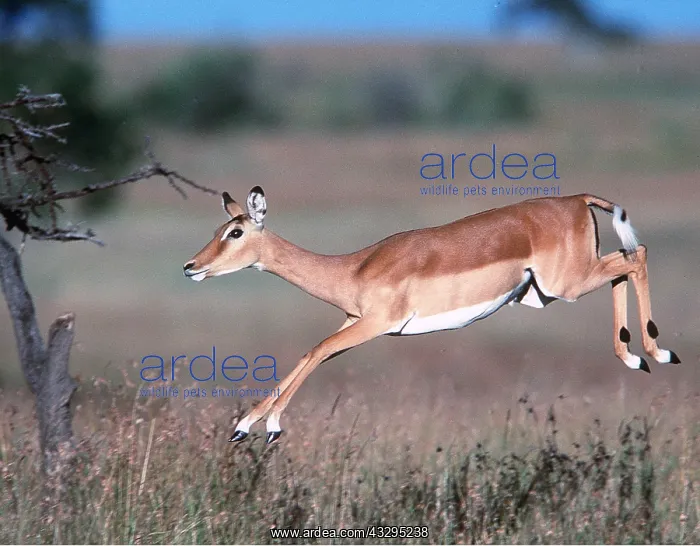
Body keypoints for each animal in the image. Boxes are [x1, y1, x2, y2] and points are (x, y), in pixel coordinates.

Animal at [183, 187, 680, 444]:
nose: (191, 266)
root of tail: (577, 198)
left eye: (234, 232)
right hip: (567, 282)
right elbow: (314, 354)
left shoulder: (375, 325)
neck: (354, 267)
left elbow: (314, 351)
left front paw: (262, 426)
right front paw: (246, 425)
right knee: (626, 260)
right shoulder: (352, 321)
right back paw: (634, 356)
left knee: (637, 256)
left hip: (567, 284)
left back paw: (658, 352)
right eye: (218, 228)